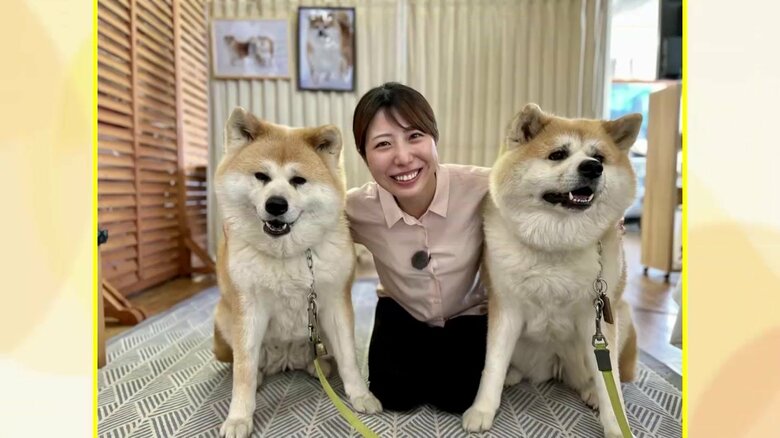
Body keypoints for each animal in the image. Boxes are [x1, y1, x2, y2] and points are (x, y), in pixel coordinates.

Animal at [212, 107, 382, 438]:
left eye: (298, 181)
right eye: (261, 176)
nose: (276, 204)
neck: (287, 253)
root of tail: (286, 359)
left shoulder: (334, 303)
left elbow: (348, 358)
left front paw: (360, 395)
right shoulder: (249, 309)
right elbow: (244, 370)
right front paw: (239, 418)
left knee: (320, 355)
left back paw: (320, 367)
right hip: (224, 320)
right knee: (249, 364)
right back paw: (263, 375)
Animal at [464, 104, 640, 436]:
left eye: (599, 158)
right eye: (558, 154)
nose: (592, 168)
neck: (557, 242)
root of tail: (554, 366)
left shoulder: (596, 318)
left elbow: (610, 383)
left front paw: (616, 426)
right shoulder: (505, 308)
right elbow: (492, 366)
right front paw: (482, 409)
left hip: (619, 316)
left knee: (599, 376)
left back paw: (591, 392)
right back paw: (512, 374)